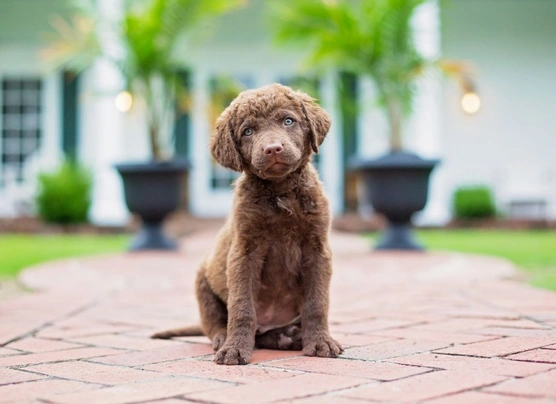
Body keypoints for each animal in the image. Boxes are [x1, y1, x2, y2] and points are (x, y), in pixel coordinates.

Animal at [153, 83, 344, 364]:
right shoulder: (244, 251)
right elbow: (242, 306)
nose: (273, 149)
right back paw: (228, 338)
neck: (280, 191)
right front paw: (234, 349)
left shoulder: (318, 249)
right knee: (216, 323)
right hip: (202, 280)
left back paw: (289, 336)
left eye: (288, 121)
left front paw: (320, 342)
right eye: (248, 131)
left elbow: (317, 302)